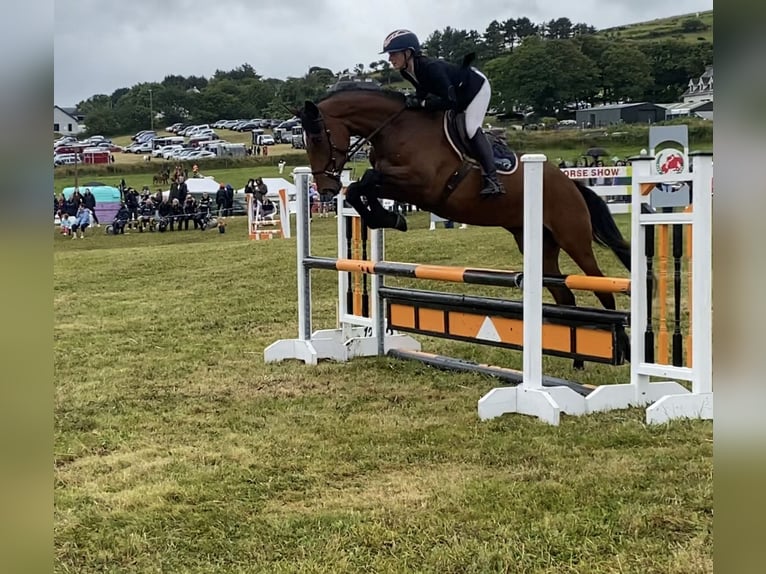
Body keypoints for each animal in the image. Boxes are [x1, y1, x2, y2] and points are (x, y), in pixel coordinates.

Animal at [296, 84, 632, 368]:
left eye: (317, 138)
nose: (326, 189)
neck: (397, 128)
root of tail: (571, 183)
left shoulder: (421, 185)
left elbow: (366, 181)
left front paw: (389, 218)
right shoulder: (399, 184)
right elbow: (360, 188)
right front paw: (387, 218)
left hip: (573, 237)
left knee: (602, 287)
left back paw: (624, 351)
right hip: (538, 244)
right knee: (565, 296)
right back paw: (577, 360)